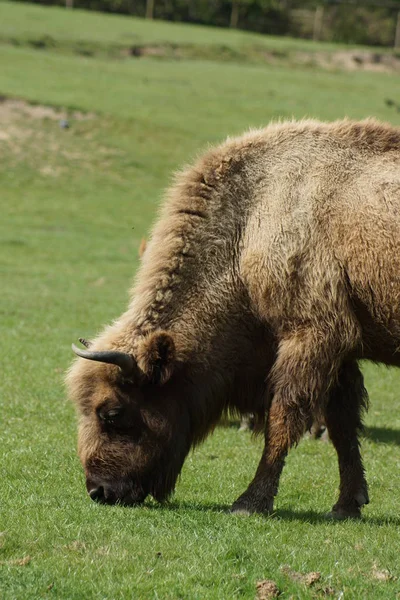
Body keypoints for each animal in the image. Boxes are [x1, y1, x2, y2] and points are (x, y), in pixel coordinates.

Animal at [67, 119, 400, 516]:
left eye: (112, 412)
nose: (99, 491)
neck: (251, 218)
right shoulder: (340, 352)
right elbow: (342, 424)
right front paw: (347, 505)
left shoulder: (311, 335)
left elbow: (284, 418)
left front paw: (249, 502)